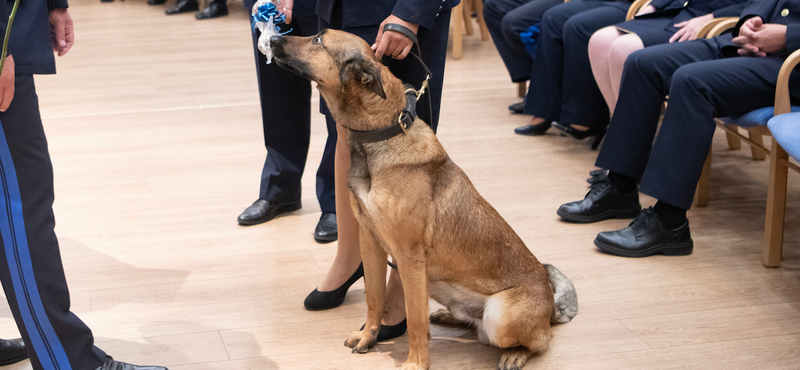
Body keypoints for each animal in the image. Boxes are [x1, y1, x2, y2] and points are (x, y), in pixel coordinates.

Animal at [272, 29, 580, 370]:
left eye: (317, 40)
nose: (272, 38)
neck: (382, 132)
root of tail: (551, 307)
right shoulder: (371, 243)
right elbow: (374, 299)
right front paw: (368, 337)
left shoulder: (409, 258)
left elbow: (415, 319)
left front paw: (416, 363)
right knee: (476, 326)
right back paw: (450, 317)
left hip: (500, 315)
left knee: (538, 340)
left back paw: (516, 353)